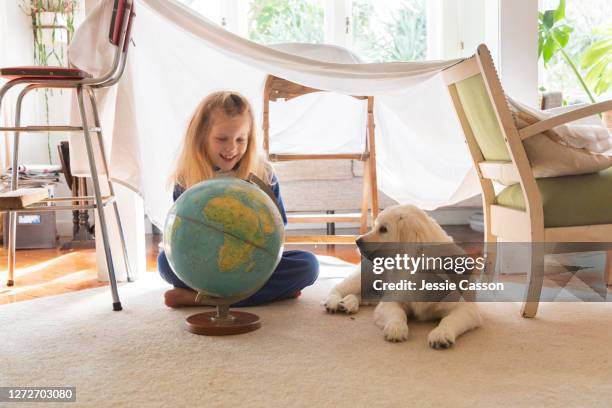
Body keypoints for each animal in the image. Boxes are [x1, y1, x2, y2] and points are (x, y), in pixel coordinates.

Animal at [326, 206, 482, 350]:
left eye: (383, 229)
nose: (357, 240)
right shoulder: (390, 300)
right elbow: (398, 313)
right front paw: (396, 328)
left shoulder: (467, 309)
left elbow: (449, 319)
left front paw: (441, 333)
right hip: (365, 275)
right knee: (338, 288)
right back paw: (334, 302)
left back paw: (348, 303)